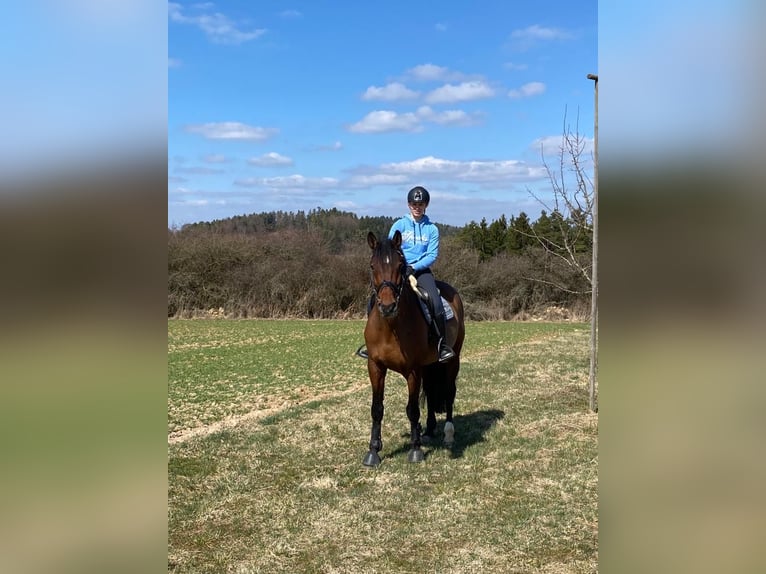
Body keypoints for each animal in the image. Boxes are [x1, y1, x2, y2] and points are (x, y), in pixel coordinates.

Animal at [362, 231, 468, 468]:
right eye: (372, 266)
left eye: (401, 265)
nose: (387, 306)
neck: (390, 327)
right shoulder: (375, 366)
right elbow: (376, 409)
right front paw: (373, 451)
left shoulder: (413, 370)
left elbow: (412, 409)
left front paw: (415, 449)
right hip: (429, 365)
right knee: (430, 390)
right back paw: (428, 431)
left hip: (451, 360)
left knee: (449, 392)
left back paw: (448, 434)